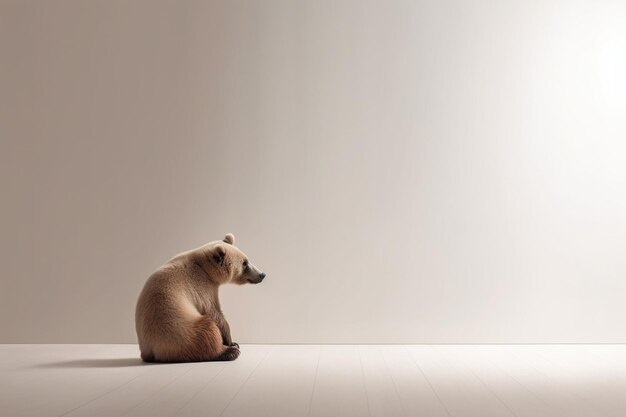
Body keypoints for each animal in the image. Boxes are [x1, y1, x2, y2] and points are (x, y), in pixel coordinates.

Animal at [135, 232, 264, 362]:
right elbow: (214, 313)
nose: (262, 274)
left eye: (247, 260)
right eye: (244, 263)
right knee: (205, 332)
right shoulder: (201, 286)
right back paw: (228, 351)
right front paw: (231, 342)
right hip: (179, 330)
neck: (205, 267)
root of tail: (150, 351)